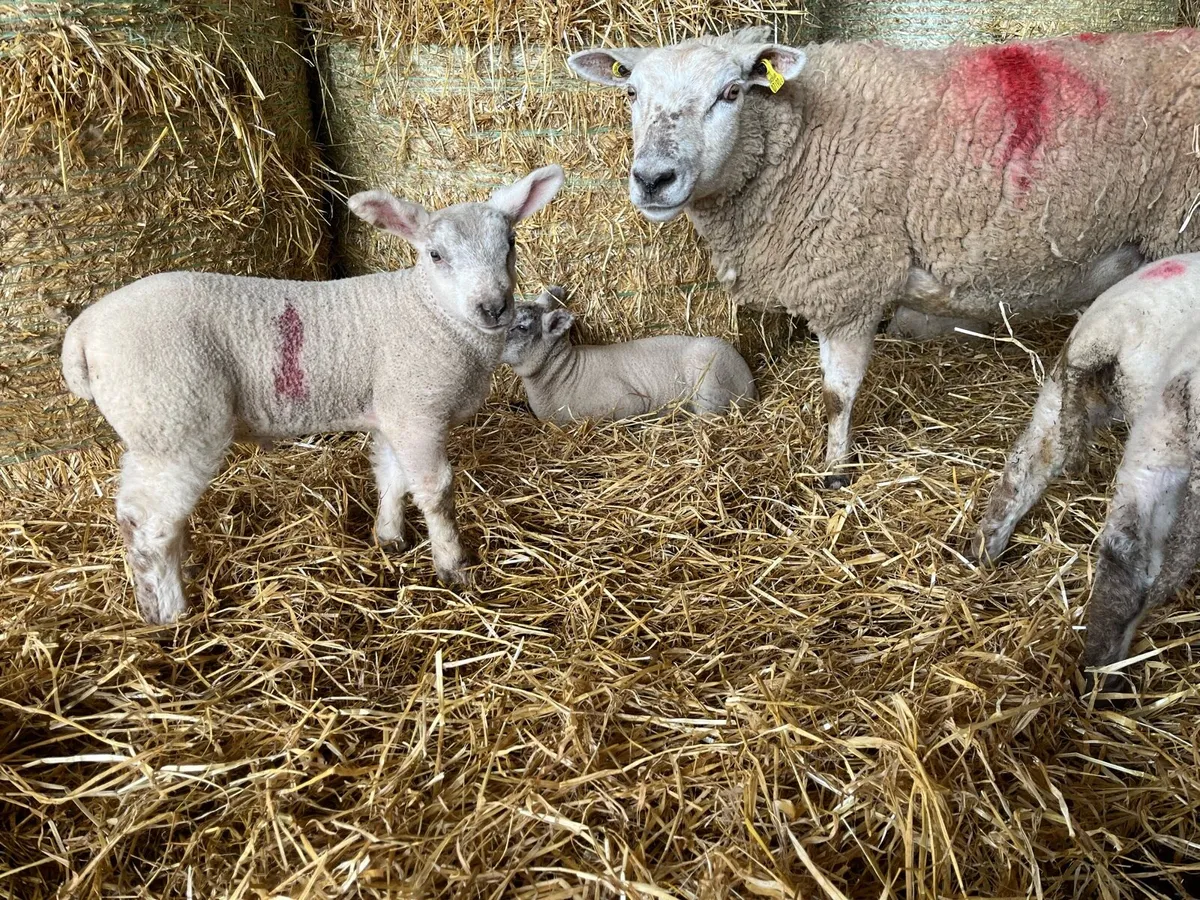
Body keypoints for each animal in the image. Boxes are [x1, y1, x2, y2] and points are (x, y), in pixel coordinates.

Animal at [60, 165, 566, 624]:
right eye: (436, 255)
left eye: (511, 245)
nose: (493, 307)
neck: (431, 312)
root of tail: (82, 334)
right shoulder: (417, 412)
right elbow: (435, 491)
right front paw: (453, 566)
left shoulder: (392, 411)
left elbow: (390, 476)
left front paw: (389, 539)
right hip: (175, 420)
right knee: (148, 525)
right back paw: (169, 612)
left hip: (150, 429)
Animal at [567, 26, 1200, 486]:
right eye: (631, 93)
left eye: (731, 93)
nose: (653, 179)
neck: (798, 142)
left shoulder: (847, 280)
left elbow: (837, 395)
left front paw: (833, 471)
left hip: (1179, 234)